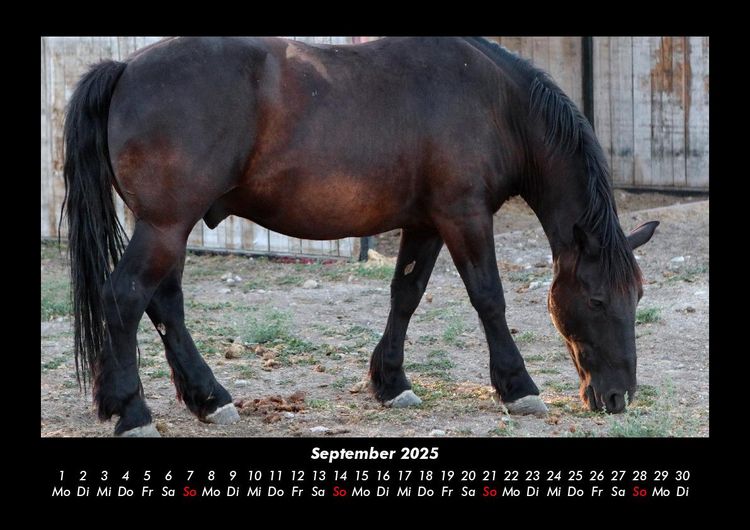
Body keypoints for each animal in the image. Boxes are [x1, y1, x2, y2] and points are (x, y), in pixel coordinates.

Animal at [62, 36, 658, 437]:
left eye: (637, 296)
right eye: (597, 299)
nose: (617, 396)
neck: (495, 103)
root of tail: (125, 68)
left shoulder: (425, 223)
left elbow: (406, 295)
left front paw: (391, 383)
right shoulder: (463, 217)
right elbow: (489, 298)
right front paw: (519, 387)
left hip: (170, 228)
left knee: (164, 304)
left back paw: (207, 398)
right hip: (165, 226)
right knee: (126, 298)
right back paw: (132, 411)